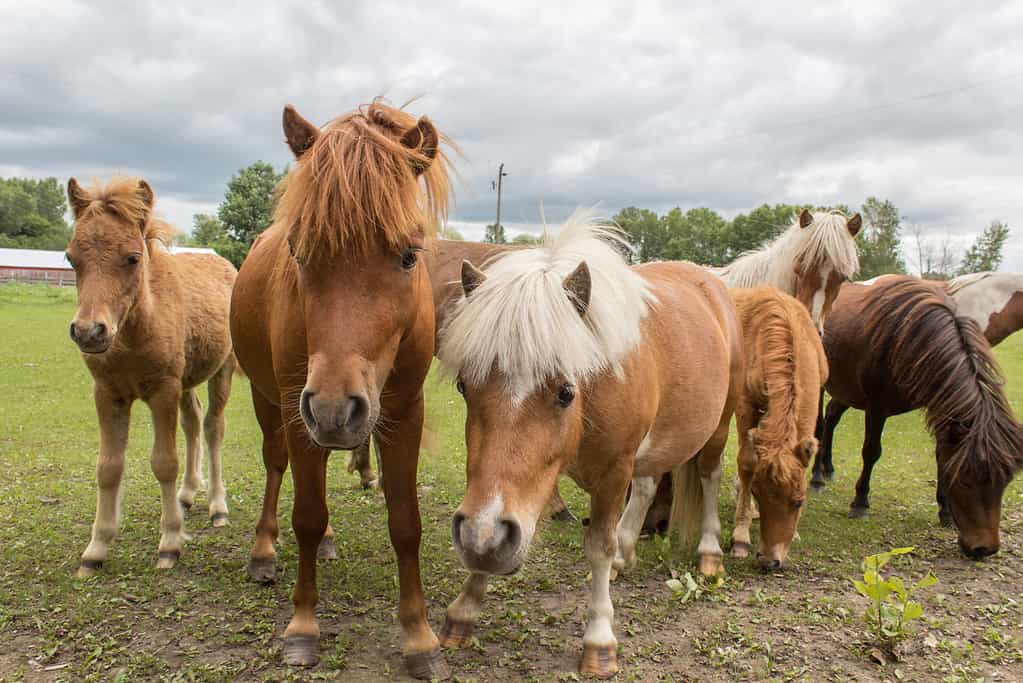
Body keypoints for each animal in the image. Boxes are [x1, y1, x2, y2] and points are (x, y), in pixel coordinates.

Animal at [65, 177, 236, 577]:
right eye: (71, 258)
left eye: (132, 258)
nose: (89, 332)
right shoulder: (107, 392)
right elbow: (108, 467)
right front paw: (96, 549)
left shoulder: (163, 390)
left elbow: (164, 462)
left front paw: (170, 543)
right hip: (187, 380)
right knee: (193, 421)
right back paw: (187, 494)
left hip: (222, 370)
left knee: (212, 426)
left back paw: (217, 506)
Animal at [229, 100, 453, 678]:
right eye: (298, 251)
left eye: (408, 255)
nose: (334, 408)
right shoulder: (298, 407)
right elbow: (306, 516)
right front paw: (303, 627)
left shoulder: (403, 413)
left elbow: (405, 522)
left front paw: (420, 637)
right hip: (274, 404)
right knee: (277, 467)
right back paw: (263, 551)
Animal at [435, 211, 743, 678]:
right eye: (464, 387)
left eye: (566, 392)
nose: (479, 537)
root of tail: (712, 283)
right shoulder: (533, 483)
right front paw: (464, 608)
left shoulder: (614, 471)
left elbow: (598, 545)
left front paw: (599, 639)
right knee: (648, 486)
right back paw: (626, 555)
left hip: (718, 425)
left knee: (709, 475)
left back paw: (709, 553)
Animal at [729, 288, 828, 570]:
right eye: (757, 492)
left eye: (799, 501)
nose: (769, 560)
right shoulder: (745, 404)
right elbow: (747, 463)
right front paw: (740, 538)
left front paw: (794, 533)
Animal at [810, 277, 1023, 557]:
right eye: (966, 481)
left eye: (1005, 482)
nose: (984, 549)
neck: (910, 337)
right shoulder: (876, 406)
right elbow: (871, 452)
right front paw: (860, 502)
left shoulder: (941, 405)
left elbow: (942, 456)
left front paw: (945, 511)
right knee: (820, 425)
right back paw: (817, 477)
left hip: (848, 389)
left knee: (832, 417)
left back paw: (828, 468)